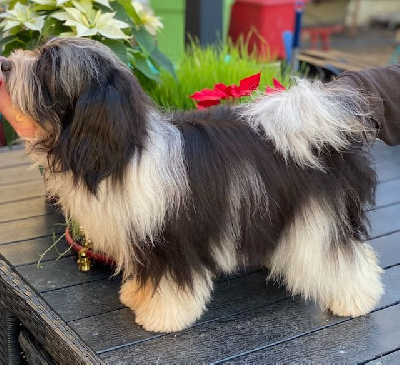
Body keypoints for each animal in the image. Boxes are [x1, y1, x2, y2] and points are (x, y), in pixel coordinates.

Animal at [0, 37, 384, 332]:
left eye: (47, 66)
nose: (4, 63)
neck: (123, 152)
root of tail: (321, 131)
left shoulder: (171, 239)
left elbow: (171, 283)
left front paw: (162, 317)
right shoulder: (143, 239)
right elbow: (146, 274)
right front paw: (136, 296)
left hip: (321, 216)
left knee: (342, 256)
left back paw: (356, 300)